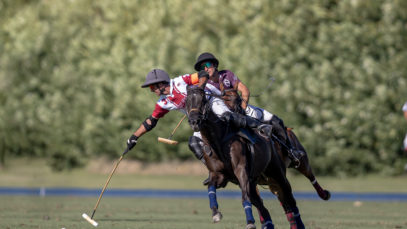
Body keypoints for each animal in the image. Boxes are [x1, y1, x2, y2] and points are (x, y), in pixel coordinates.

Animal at [186, 86, 304, 229]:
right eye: (186, 102)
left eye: (203, 100)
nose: (194, 121)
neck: (218, 141)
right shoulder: (218, 174)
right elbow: (211, 188)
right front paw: (215, 213)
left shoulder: (241, 170)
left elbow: (244, 197)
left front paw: (250, 223)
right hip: (254, 182)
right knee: (263, 206)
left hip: (277, 173)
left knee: (289, 200)